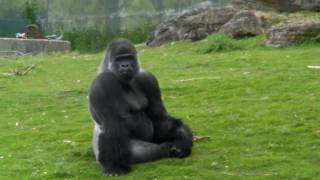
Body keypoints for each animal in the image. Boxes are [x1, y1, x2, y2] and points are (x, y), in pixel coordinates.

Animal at [89, 38, 192, 176]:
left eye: (129, 58)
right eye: (119, 59)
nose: (125, 65)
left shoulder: (148, 78)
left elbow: (160, 117)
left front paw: (182, 138)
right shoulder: (103, 83)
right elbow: (112, 125)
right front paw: (115, 166)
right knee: (136, 150)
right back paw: (165, 148)